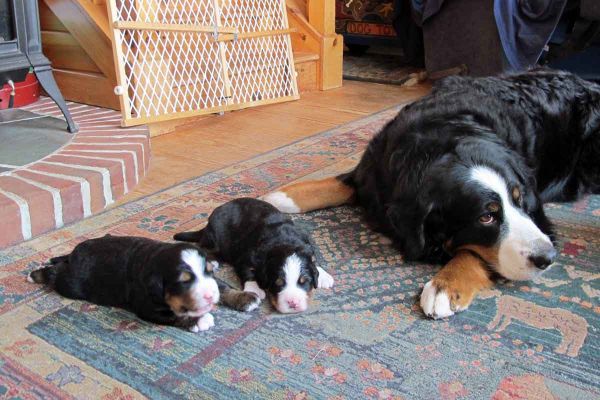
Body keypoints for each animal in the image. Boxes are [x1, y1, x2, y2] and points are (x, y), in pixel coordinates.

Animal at [28, 234, 258, 332]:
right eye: (183, 282)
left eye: (207, 272)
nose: (209, 297)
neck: (155, 259)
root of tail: (75, 253)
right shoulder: (147, 306)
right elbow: (174, 314)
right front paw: (199, 320)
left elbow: (223, 287)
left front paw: (245, 297)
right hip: (71, 284)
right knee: (54, 273)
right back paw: (36, 273)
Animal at [173, 198, 336, 314]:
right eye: (278, 283)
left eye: (304, 281)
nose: (293, 303)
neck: (283, 240)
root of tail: (208, 224)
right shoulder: (245, 257)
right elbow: (247, 271)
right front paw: (255, 288)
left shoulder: (306, 244)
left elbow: (313, 259)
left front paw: (323, 275)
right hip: (217, 238)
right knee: (204, 247)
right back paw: (212, 261)